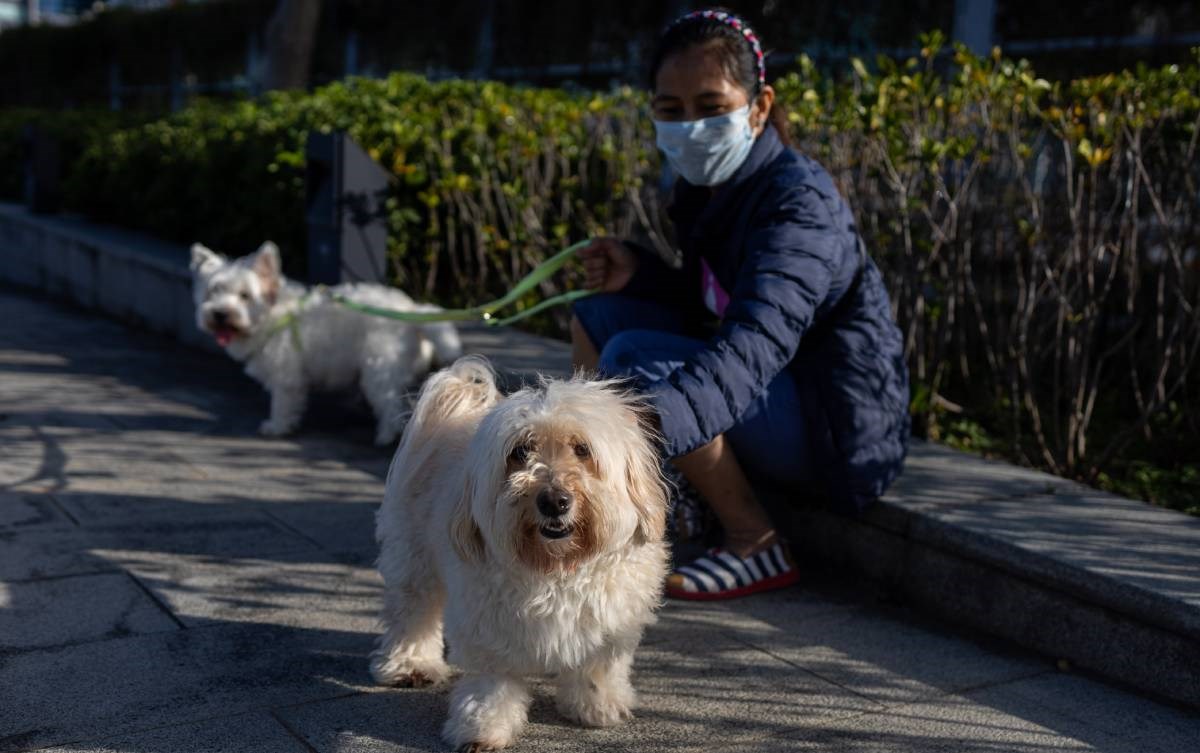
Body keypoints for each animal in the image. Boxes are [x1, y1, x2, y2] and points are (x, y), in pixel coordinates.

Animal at [187, 241, 458, 443]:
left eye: (244, 296)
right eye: (213, 292)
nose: (220, 314)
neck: (271, 315)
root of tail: (411, 310)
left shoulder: (286, 376)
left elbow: (282, 403)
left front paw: (277, 426)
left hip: (378, 368)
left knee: (390, 403)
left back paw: (386, 436)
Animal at [372, 354, 672, 748]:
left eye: (582, 449)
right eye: (520, 452)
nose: (554, 501)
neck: (556, 567)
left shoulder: (610, 622)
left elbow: (597, 666)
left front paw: (597, 705)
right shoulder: (488, 626)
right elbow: (493, 684)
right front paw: (483, 726)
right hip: (413, 556)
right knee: (413, 611)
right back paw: (411, 664)